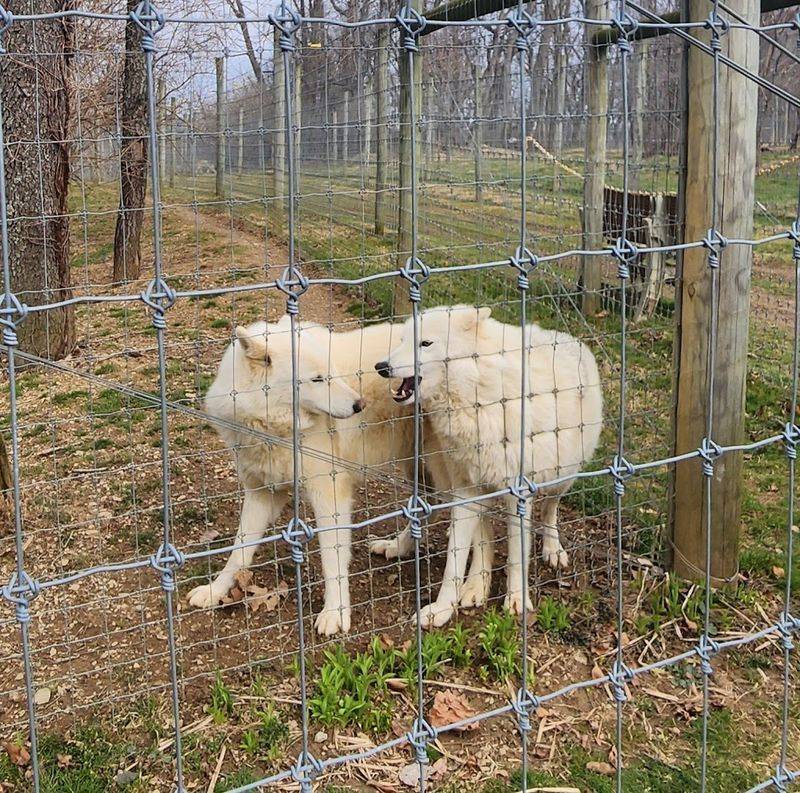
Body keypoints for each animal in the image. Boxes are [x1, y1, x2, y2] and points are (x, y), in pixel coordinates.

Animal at [187, 316, 412, 636]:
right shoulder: (261, 494)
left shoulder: (330, 495)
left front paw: (335, 613)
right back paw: (397, 548)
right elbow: (238, 552)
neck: (274, 429)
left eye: (332, 372)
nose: (360, 405)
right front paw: (215, 590)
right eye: (317, 379)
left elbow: (332, 558)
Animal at [372, 304, 603, 628]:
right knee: (480, 535)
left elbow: (518, 554)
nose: (382, 366)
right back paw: (472, 587)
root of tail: (569, 338)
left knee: (550, 510)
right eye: (402, 340)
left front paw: (517, 600)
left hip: (563, 477)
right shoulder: (466, 490)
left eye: (425, 343)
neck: (478, 394)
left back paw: (552, 549)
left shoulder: (518, 494)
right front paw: (442, 609)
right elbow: (455, 563)